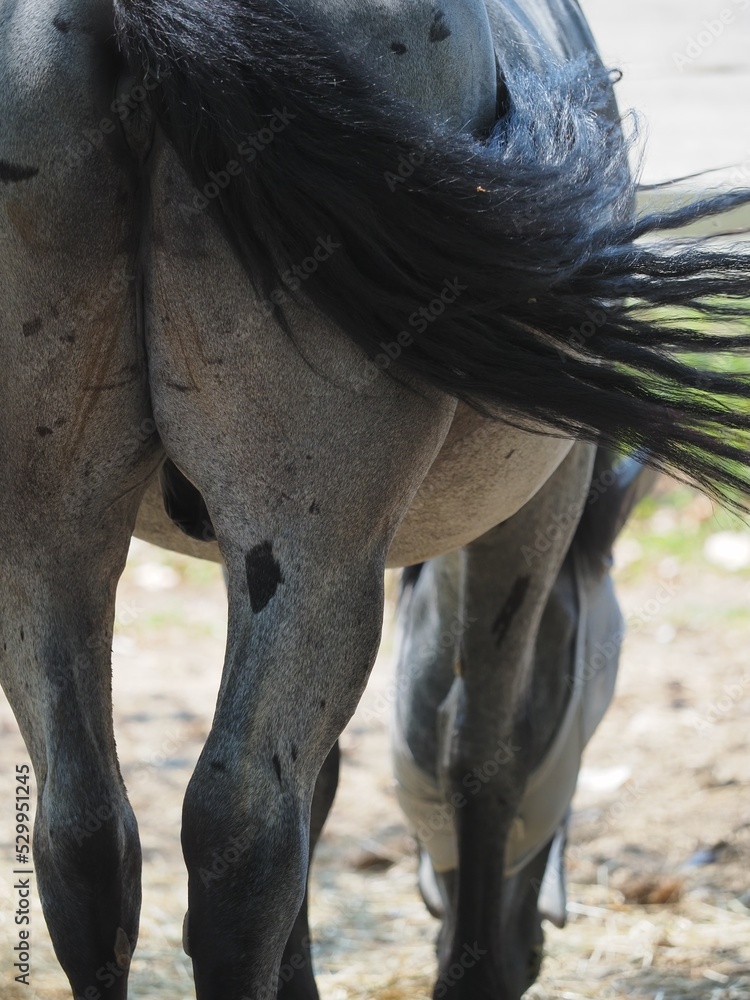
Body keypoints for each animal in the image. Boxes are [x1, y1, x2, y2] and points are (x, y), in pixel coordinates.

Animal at [1, 0, 750, 996]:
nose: (530, 938)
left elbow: (320, 783)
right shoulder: (535, 519)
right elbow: (482, 755)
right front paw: (472, 969)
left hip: (49, 541)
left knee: (86, 839)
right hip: (315, 549)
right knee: (245, 831)